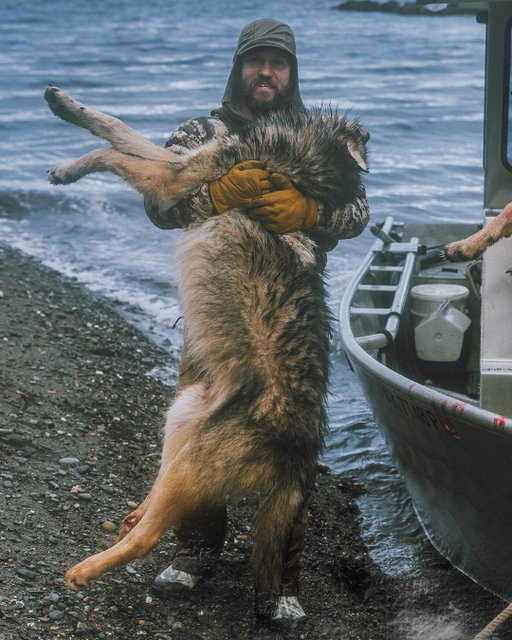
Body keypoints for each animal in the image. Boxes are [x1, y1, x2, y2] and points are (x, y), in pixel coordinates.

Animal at [44, 85, 369, 621]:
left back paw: (87, 569)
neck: (308, 157)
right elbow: (120, 133)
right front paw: (66, 108)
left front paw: (69, 161)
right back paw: (136, 514)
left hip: (194, 458)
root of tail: (301, 457)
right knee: (156, 503)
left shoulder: (178, 175)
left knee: (150, 536)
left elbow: (115, 145)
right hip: (183, 414)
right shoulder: (185, 167)